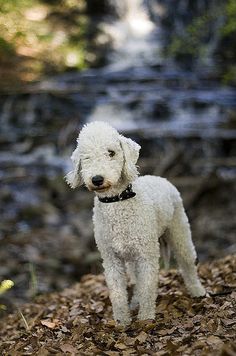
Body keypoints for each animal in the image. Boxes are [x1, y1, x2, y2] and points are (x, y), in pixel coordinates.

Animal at [65, 121, 205, 326]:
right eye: (86, 156)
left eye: (111, 152)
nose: (97, 179)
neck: (117, 201)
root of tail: (161, 178)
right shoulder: (111, 259)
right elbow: (117, 293)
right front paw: (122, 322)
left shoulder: (147, 256)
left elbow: (148, 288)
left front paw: (146, 319)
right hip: (132, 257)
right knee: (136, 280)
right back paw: (135, 302)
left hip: (179, 231)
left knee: (187, 262)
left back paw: (198, 291)